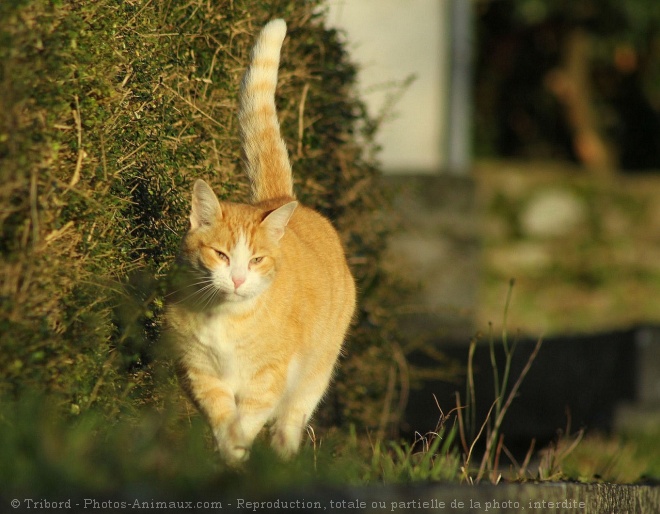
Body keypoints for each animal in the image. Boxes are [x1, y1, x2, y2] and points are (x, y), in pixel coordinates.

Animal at [168, 19, 358, 460]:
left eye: (256, 260)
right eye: (220, 255)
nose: (238, 279)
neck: (226, 318)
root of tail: (276, 200)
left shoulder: (269, 378)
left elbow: (251, 416)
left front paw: (240, 454)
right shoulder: (199, 372)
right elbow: (223, 417)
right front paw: (228, 456)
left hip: (315, 373)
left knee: (289, 422)